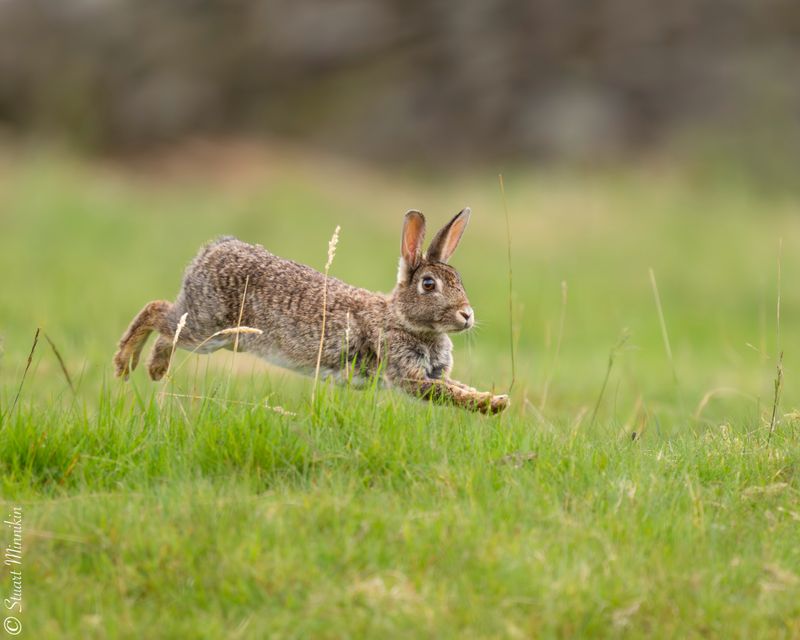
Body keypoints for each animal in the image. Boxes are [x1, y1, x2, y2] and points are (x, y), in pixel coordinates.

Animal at [111, 208, 510, 412]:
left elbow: (457, 386)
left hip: (217, 334)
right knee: (157, 312)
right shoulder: (407, 374)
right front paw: (494, 405)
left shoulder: (432, 373)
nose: (467, 315)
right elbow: (448, 394)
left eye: (459, 279)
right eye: (429, 284)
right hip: (207, 327)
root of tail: (214, 250)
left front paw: (495, 399)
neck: (399, 319)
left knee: (166, 324)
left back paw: (153, 369)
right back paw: (129, 364)